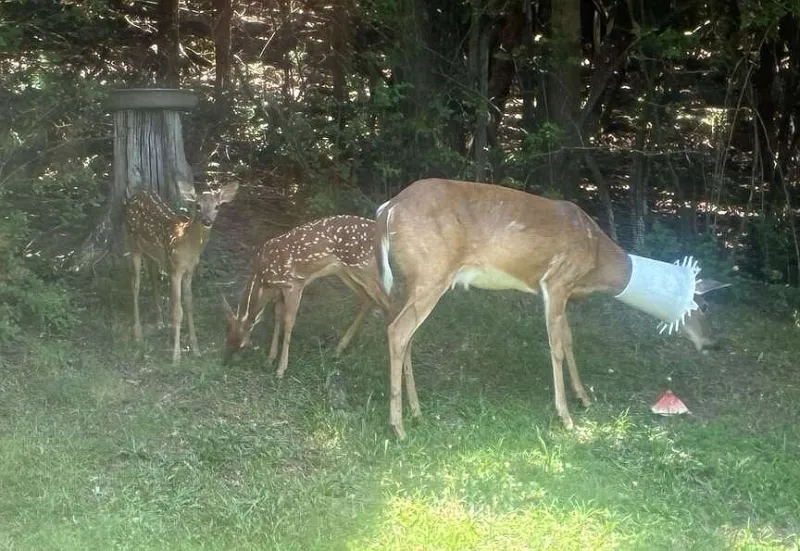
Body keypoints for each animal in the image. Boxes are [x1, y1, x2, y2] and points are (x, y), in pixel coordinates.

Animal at [124, 179, 239, 364]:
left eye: (217, 206)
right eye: (198, 206)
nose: (207, 221)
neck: (187, 245)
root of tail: (135, 194)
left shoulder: (189, 271)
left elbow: (189, 305)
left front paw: (196, 349)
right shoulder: (175, 269)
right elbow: (178, 311)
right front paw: (176, 356)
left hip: (152, 253)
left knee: (152, 275)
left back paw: (160, 322)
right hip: (132, 241)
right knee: (135, 284)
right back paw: (138, 333)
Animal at [223, 215, 391, 377]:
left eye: (242, 343)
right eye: (227, 331)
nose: (227, 360)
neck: (264, 280)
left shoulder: (294, 284)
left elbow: (288, 322)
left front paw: (281, 369)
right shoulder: (279, 290)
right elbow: (277, 317)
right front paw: (270, 359)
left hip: (365, 268)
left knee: (388, 303)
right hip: (344, 271)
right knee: (367, 299)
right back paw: (338, 350)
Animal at [375, 178, 729, 439]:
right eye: (705, 306)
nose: (714, 343)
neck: (595, 262)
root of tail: (387, 210)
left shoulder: (564, 292)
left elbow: (569, 340)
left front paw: (583, 397)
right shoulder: (557, 281)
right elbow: (556, 347)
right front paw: (566, 416)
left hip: (412, 279)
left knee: (405, 333)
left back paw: (417, 413)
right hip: (432, 272)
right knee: (398, 331)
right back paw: (399, 426)